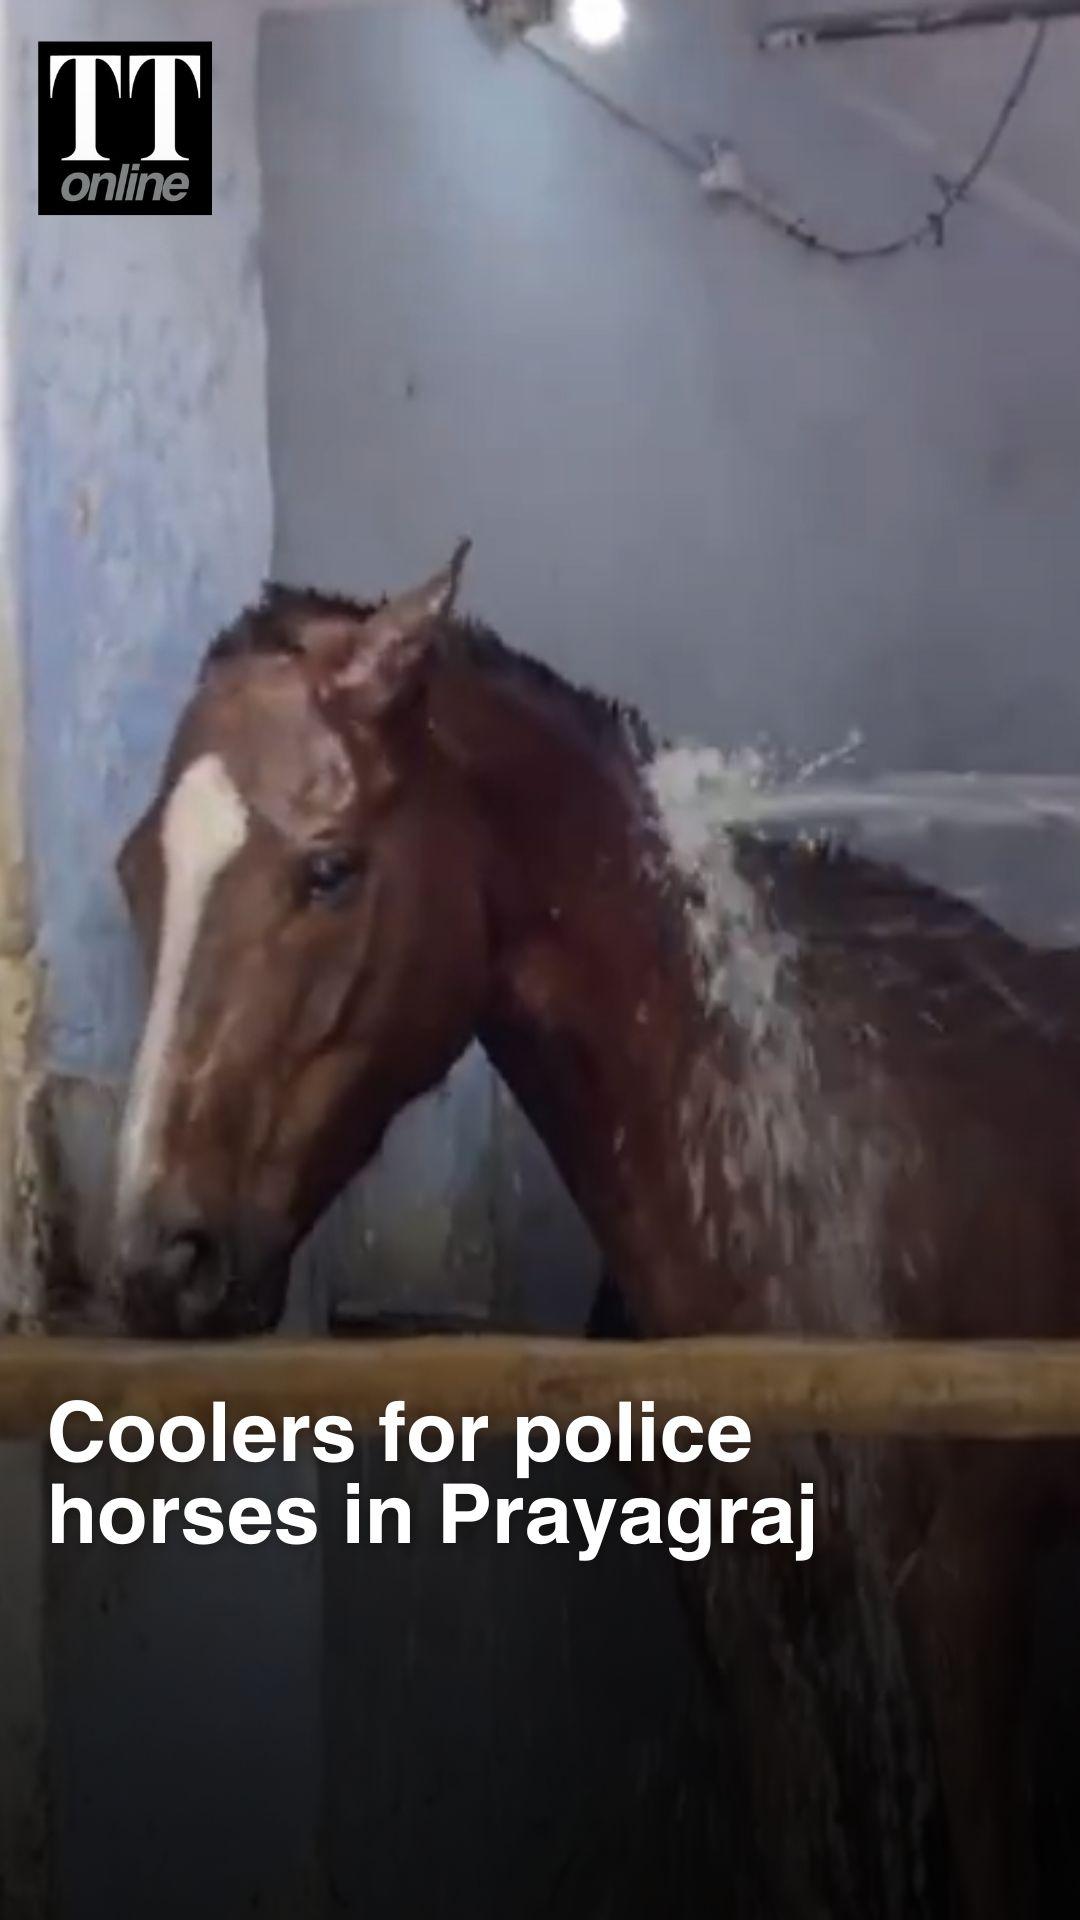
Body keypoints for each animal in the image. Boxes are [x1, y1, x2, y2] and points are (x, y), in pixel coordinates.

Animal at [113, 546, 1080, 1916]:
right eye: (135, 873)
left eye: (331, 869)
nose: (163, 1259)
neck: (813, 1152)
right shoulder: (750, 1603)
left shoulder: (968, 1582)